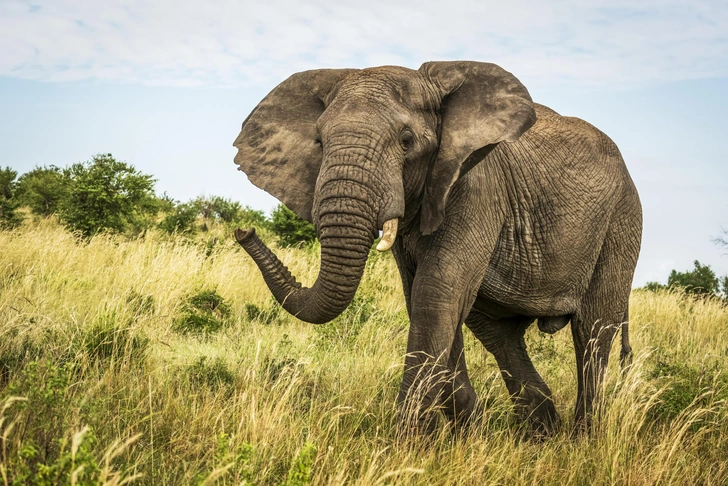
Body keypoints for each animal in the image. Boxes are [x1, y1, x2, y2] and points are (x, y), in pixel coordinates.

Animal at [233, 60, 644, 436]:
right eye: (319, 142)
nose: (243, 231)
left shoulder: (478, 186)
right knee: (499, 335)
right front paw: (464, 433)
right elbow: (427, 300)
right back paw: (539, 434)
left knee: (593, 331)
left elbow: (436, 294)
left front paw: (407, 447)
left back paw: (580, 440)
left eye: (406, 141)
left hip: (622, 220)